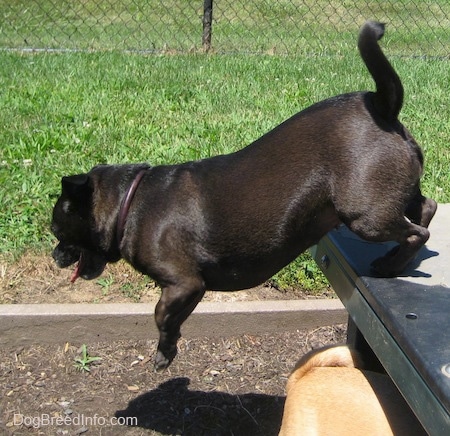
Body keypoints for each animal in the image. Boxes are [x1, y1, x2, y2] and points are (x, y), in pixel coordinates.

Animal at [51, 22, 436, 370]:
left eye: (56, 230)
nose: (55, 256)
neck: (130, 203)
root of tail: (381, 106)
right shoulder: (189, 290)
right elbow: (173, 321)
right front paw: (170, 347)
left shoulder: (183, 284)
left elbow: (161, 316)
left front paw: (163, 354)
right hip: (391, 196)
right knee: (425, 208)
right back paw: (399, 254)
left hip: (365, 217)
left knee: (418, 232)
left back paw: (390, 265)